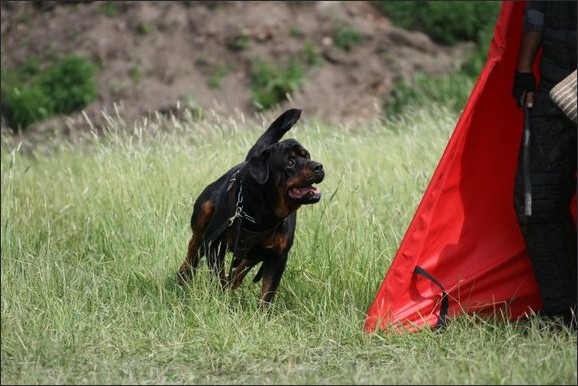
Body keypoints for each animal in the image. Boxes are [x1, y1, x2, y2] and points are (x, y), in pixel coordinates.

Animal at [176, 108, 324, 308]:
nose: (319, 166)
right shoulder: (215, 245)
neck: (264, 213)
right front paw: (221, 300)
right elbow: (218, 277)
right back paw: (184, 274)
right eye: (290, 162)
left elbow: (267, 292)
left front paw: (263, 313)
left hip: (258, 251)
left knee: (243, 264)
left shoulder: (278, 256)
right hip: (204, 214)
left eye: (307, 156)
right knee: (194, 244)